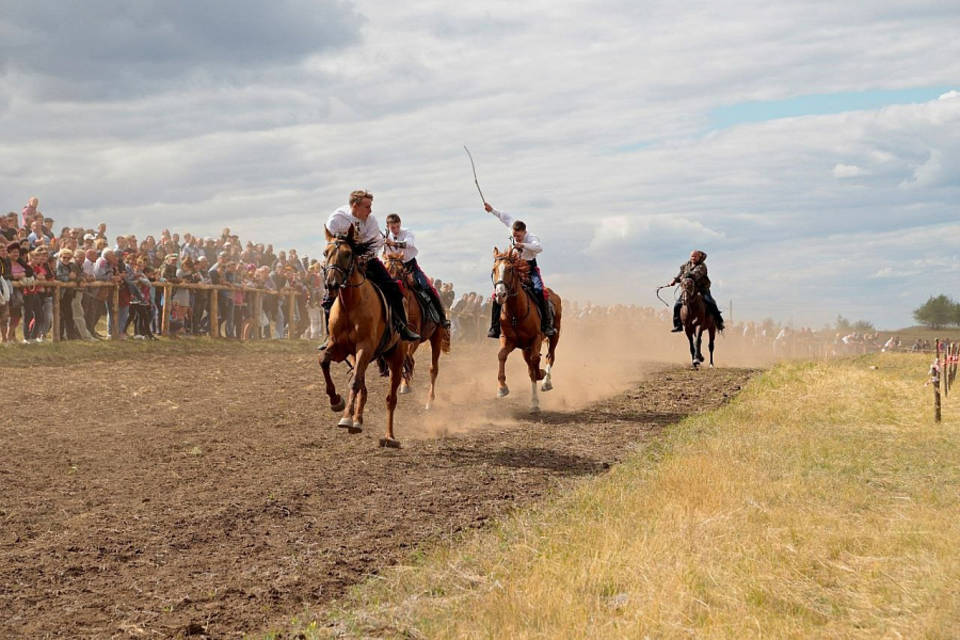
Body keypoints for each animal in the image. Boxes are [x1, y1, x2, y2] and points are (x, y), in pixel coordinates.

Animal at [316, 228, 404, 448]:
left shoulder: (365, 347)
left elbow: (355, 382)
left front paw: (346, 418)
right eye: (325, 252)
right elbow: (323, 361)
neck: (350, 304)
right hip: (357, 356)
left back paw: (389, 437)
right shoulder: (339, 347)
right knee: (363, 388)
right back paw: (358, 419)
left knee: (390, 398)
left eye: (348, 254)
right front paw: (336, 401)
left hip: (396, 357)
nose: (331, 283)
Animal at [382, 251, 450, 410]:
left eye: (400, 271)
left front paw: (405, 385)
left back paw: (430, 400)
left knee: (433, 369)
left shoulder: (416, 338)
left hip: (436, 337)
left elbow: (408, 357)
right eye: (385, 268)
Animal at [492, 248, 560, 412]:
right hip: (525, 348)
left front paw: (541, 374)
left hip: (555, 335)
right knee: (530, 368)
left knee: (550, 357)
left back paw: (546, 382)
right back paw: (534, 402)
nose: (500, 294)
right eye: (493, 270)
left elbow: (536, 361)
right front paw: (502, 388)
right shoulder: (508, 340)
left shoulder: (536, 339)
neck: (515, 314)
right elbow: (501, 356)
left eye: (510, 269)